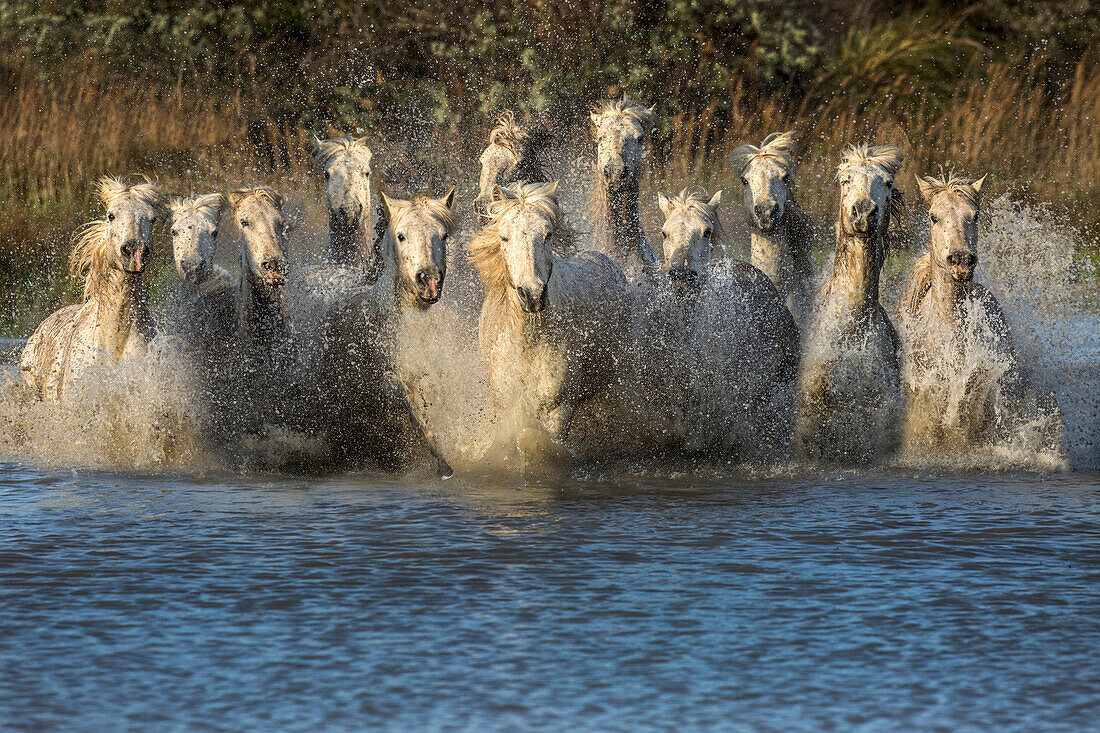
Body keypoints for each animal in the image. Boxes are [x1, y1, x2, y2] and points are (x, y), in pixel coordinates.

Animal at [468, 179, 633, 460]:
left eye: (548, 234)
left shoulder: (558, 411)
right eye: (504, 236)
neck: (528, 342)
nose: (532, 294)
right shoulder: (508, 408)